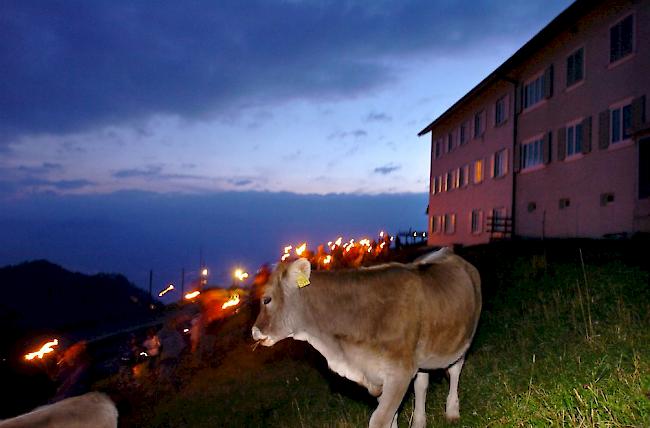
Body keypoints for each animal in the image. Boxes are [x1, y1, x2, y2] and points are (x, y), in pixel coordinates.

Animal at [251, 247, 478, 428]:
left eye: (267, 299)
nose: (254, 331)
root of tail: (447, 252)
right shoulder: (379, 374)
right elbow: (392, 419)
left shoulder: (399, 373)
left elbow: (380, 420)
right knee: (422, 384)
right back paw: (419, 422)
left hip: (463, 339)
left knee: (455, 371)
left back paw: (452, 412)